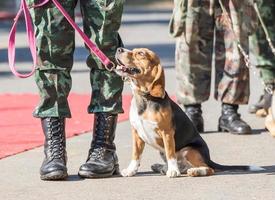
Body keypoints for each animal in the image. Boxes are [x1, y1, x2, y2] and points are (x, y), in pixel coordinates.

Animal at [115, 47, 266, 177]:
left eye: (141, 53)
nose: (119, 49)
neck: (145, 98)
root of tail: (208, 157)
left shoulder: (167, 132)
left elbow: (170, 153)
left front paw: (173, 171)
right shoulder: (136, 133)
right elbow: (136, 155)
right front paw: (131, 170)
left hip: (189, 150)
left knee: (208, 169)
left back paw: (193, 171)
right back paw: (165, 168)